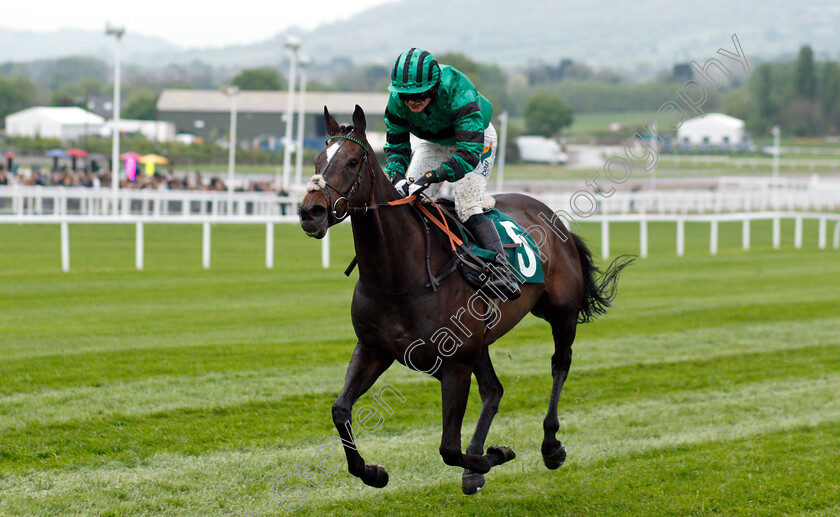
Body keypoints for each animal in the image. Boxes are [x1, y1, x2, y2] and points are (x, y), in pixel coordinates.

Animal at [298, 104, 632, 492]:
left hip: (561, 312)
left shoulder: (454, 364)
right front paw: (372, 472)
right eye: (318, 160)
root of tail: (549, 214)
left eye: (352, 161)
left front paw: (496, 455)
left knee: (559, 363)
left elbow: (448, 448)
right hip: (480, 340)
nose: (310, 211)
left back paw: (550, 445)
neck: (400, 276)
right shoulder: (373, 349)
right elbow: (340, 409)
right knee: (494, 390)